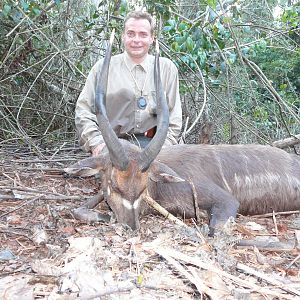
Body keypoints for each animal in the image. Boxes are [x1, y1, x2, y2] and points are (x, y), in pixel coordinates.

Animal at [65, 32, 300, 234]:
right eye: (114, 186)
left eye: (142, 188)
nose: (131, 226)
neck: (159, 189)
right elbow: (78, 210)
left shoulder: (227, 202)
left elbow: (215, 229)